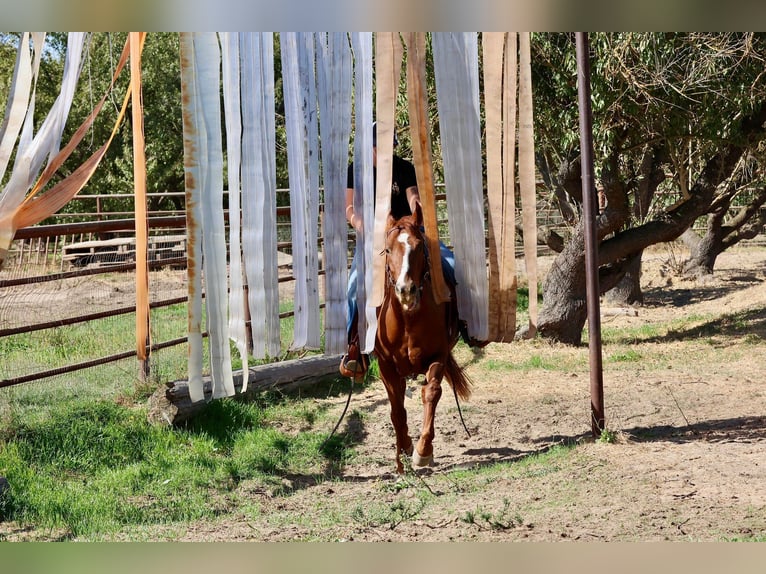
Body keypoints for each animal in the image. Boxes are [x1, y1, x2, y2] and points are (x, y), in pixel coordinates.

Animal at [374, 203, 472, 474]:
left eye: (419, 247)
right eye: (388, 249)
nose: (406, 290)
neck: (408, 319)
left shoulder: (437, 355)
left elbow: (431, 393)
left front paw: (423, 451)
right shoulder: (385, 365)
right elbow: (396, 408)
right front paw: (404, 452)